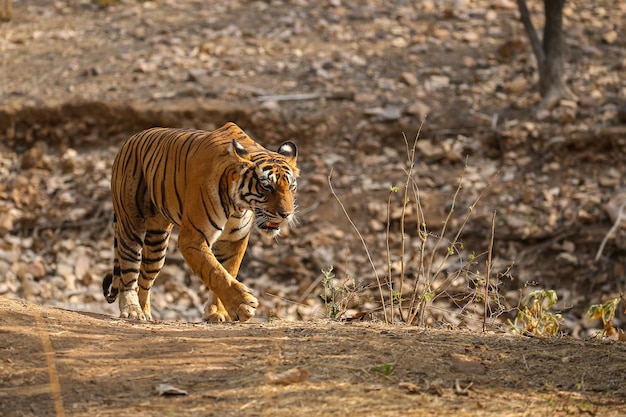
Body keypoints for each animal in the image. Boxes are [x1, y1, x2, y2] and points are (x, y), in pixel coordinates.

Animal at [99, 120, 298, 322]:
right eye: (266, 186)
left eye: (291, 187)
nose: (286, 214)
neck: (238, 207)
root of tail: (130, 139)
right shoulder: (193, 237)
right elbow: (214, 271)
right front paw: (242, 305)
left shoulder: (234, 240)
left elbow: (227, 270)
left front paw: (217, 312)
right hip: (131, 225)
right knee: (129, 271)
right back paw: (132, 310)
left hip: (157, 242)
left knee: (144, 279)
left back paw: (145, 312)